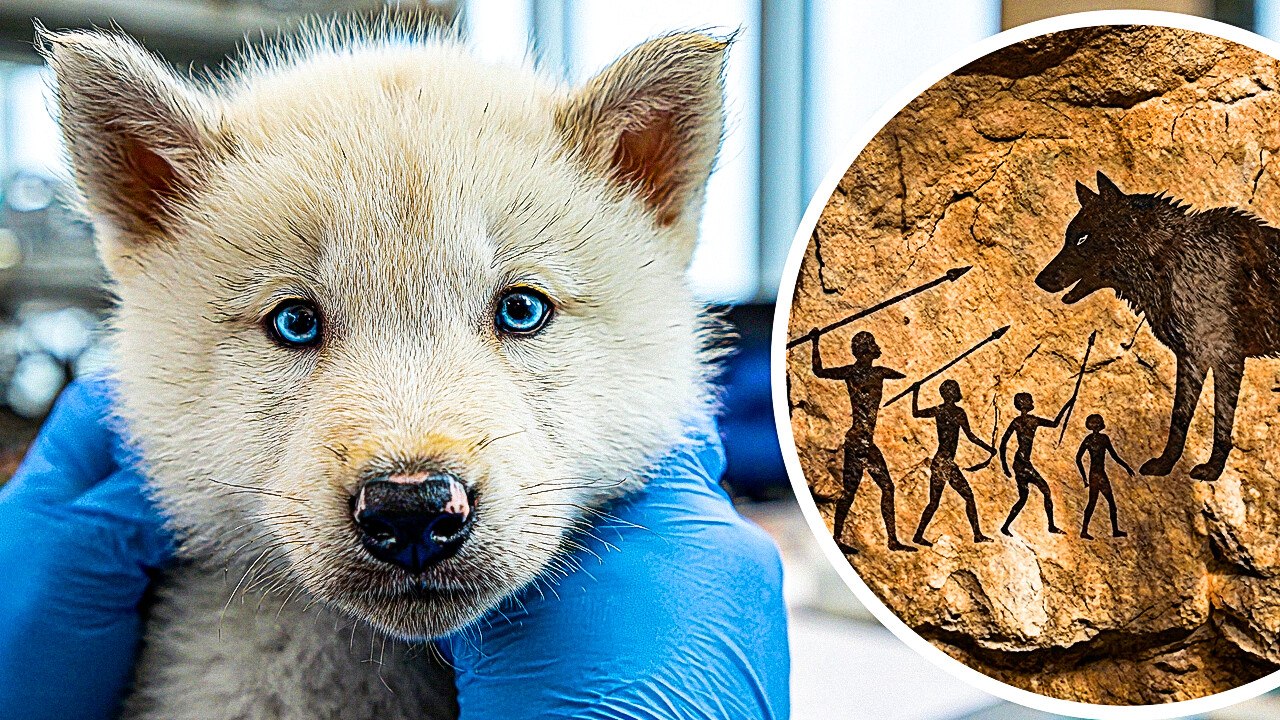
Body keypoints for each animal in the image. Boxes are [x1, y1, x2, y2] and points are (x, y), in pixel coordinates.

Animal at [1036, 171, 1280, 482]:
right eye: (1069, 237)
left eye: (1082, 238)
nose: (1040, 280)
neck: (1171, 257)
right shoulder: (1192, 359)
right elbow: (1180, 418)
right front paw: (1165, 464)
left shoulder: (1225, 359)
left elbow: (1221, 423)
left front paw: (1212, 470)